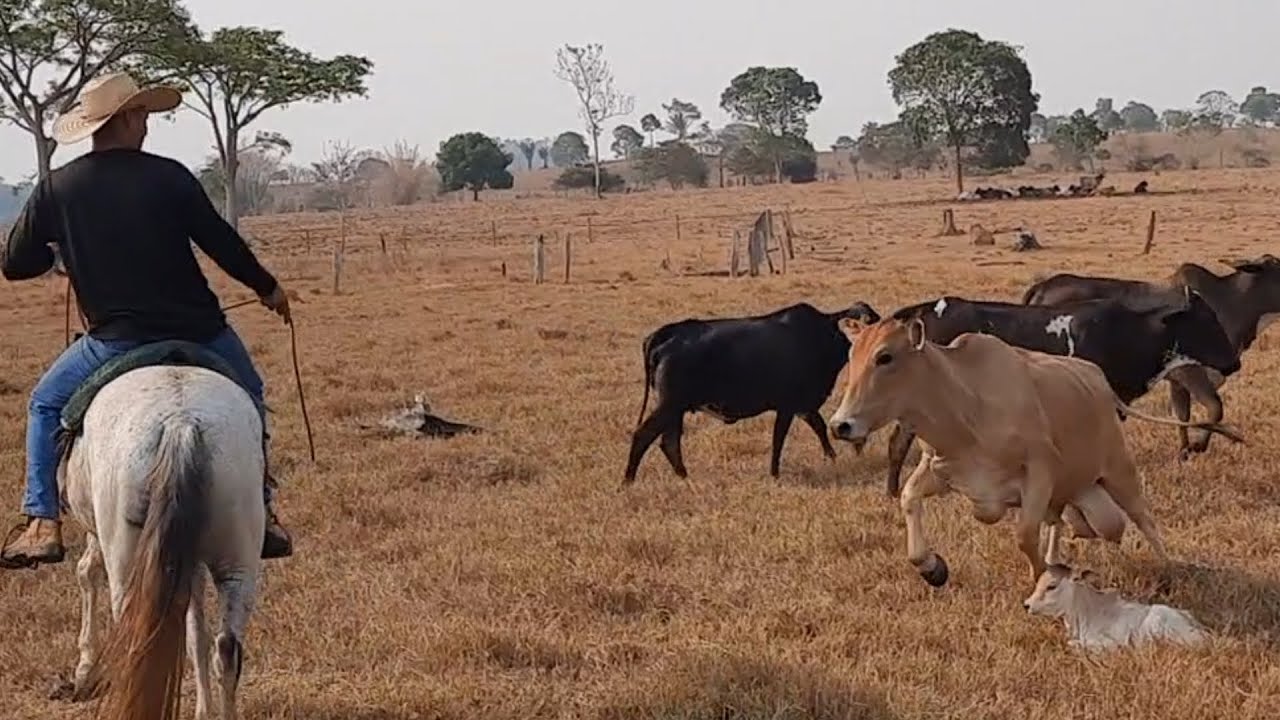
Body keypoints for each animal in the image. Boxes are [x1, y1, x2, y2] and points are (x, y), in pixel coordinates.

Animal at [623, 301, 881, 484]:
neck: (821, 335)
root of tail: (668, 332)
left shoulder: (803, 405)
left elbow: (819, 427)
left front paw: (832, 458)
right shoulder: (787, 406)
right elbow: (779, 439)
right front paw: (774, 473)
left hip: (675, 409)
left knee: (669, 442)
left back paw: (684, 477)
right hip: (669, 405)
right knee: (643, 435)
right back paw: (628, 481)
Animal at [824, 317, 1242, 588]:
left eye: (885, 357)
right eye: (851, 357)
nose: (841, 425)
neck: (967, 405)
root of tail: (1100, 383)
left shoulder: (1040, 472)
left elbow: (1025, 534)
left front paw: (1042, 580)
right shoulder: (940, 471)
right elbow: (909, 500)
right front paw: (932, 568)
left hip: (1119, 474)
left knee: (1144, 519)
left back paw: (1169, 566)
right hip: (1069, 496)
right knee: (1060, 521)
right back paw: (1058, 559)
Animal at [1022, 255, 1280, 456]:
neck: (1230, 301)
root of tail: (1043, 286)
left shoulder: (1178, 381)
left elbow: (1183, 415)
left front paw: (1184, 451)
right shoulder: (1190, 372)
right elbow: (1215, 409)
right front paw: (1198, 446)